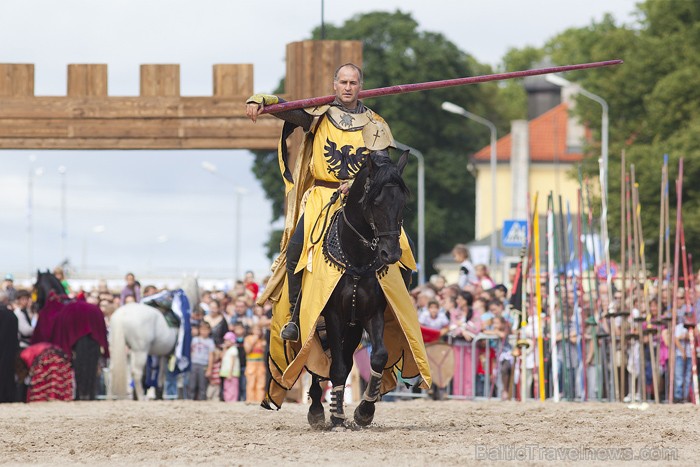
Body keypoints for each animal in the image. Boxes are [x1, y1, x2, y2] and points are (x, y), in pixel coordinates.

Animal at [306, 149, 410, 428]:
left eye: (402, 203)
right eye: (375, 202)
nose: (390, 254)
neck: (357, 259)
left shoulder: (370, 314)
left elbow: (379, 356)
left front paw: (364, 410)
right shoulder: (332, 315)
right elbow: (336, 367)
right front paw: (335, 415)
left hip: (352, 328)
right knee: (319, 362)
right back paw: (318, 408)